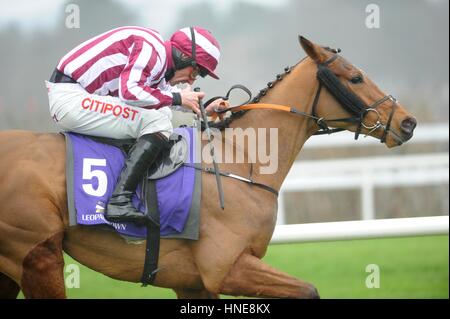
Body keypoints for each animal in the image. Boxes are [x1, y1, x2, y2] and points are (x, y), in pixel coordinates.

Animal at [0, 36, 416, 298]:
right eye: (355, 77)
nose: (408, 122)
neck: (244, 162)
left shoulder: (192, 281)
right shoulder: (227, 269)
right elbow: (309, 290)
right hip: (37, 257)